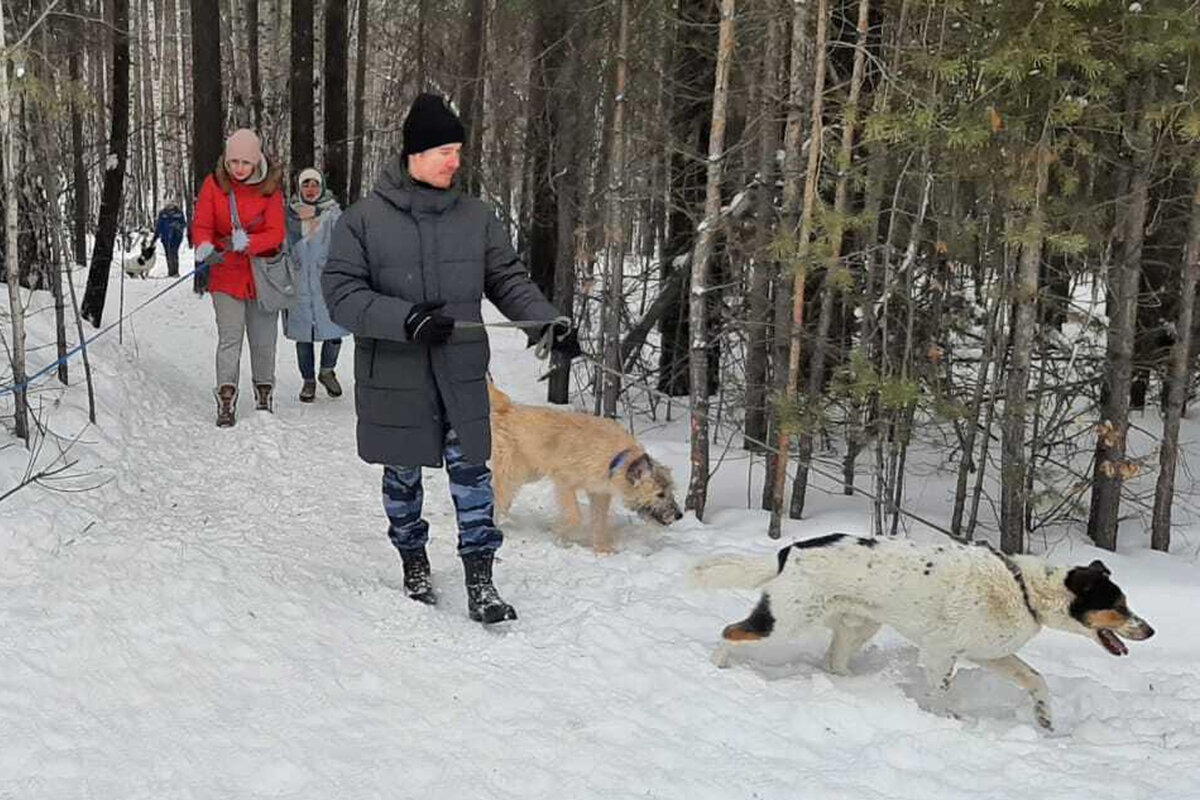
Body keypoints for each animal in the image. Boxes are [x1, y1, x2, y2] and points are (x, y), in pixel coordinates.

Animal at [482, 381, 681, 551]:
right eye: (660, 494)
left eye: (670, 491)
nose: (679, 515)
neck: (615, 459)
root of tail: (510, 407)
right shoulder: (564, 483)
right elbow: (574, 516)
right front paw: (565, 534)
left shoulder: (600, 494)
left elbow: (599, 520)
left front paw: (602, 549)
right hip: (511, 472)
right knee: (498, 495)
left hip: (528, 473)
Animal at [696, 532, 1152, 734]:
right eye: (1119, 606)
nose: (1149, 629)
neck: (1025, 590)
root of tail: (790, 550)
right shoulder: (940, 653)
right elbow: (940, 693)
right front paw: (947, 721)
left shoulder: (990, 654)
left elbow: (1036, 680)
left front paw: (1044, 716)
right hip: (785, 621)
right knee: (730, 631)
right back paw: (717, 667)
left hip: (858, 625)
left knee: (833, 661)